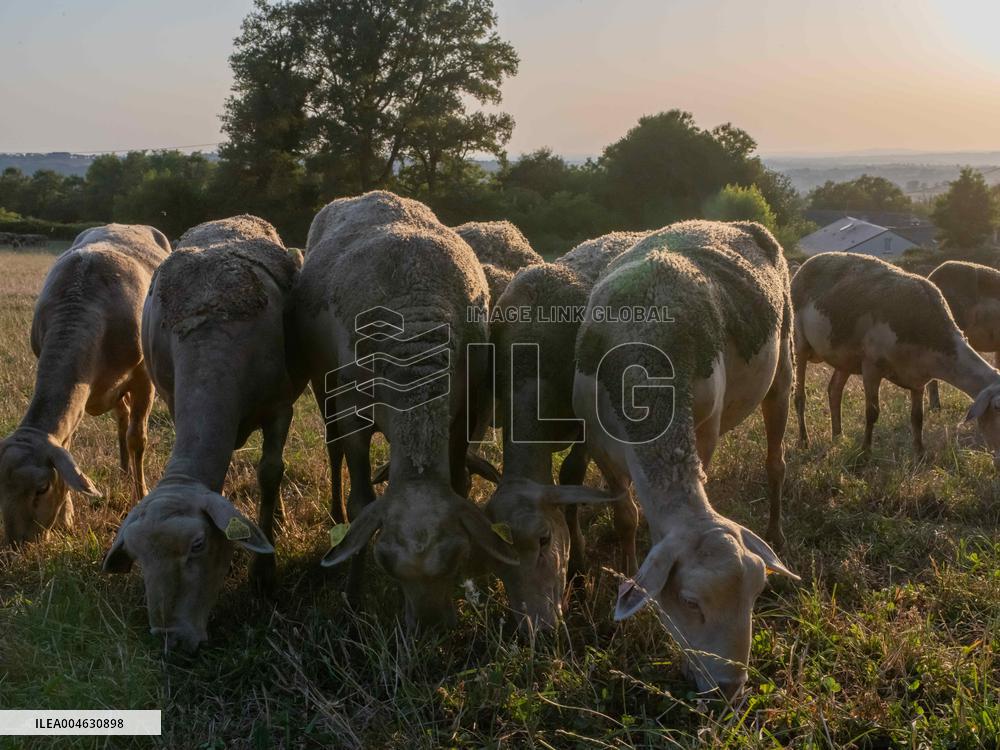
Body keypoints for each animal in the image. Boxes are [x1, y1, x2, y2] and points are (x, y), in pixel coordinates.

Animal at [0, 224, 169, 545]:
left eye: (42, 488)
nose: (20, 543)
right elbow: (68, 442)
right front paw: (66, 516)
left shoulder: (143, 378)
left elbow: (137, 438)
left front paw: (140, 496)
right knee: (120, 417)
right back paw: (122, 469)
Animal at [102, 215, 304, 653]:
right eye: (138, 557)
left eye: (198, 545)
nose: (171, 642)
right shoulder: (174, 400)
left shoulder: (281, 407)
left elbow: (270, 473)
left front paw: (264, 574)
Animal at [295, 191, 517, 630]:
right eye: (383, 560)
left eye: (457, 553)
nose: (429, 629)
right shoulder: (352, 409)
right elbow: (361, 503)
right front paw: (352, 597)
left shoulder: (465, 406)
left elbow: (460, 481)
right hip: (322, 386)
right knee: (332, 451)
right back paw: (333, 516)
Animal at [483, 231, 647, 628]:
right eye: (495, 563)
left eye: (544, 539)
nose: (537, 628)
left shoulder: (586, 425)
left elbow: (571, 478)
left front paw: (578, 568)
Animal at [573, 220, 799, 699]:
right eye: (691, 602)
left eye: (757, 596)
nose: (729, 689)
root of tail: (738, 224)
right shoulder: (599, 443)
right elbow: (625, 516)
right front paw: (625, 571)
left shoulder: (704, 427)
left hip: (784, 367)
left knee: (776, 463)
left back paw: (775, 529)